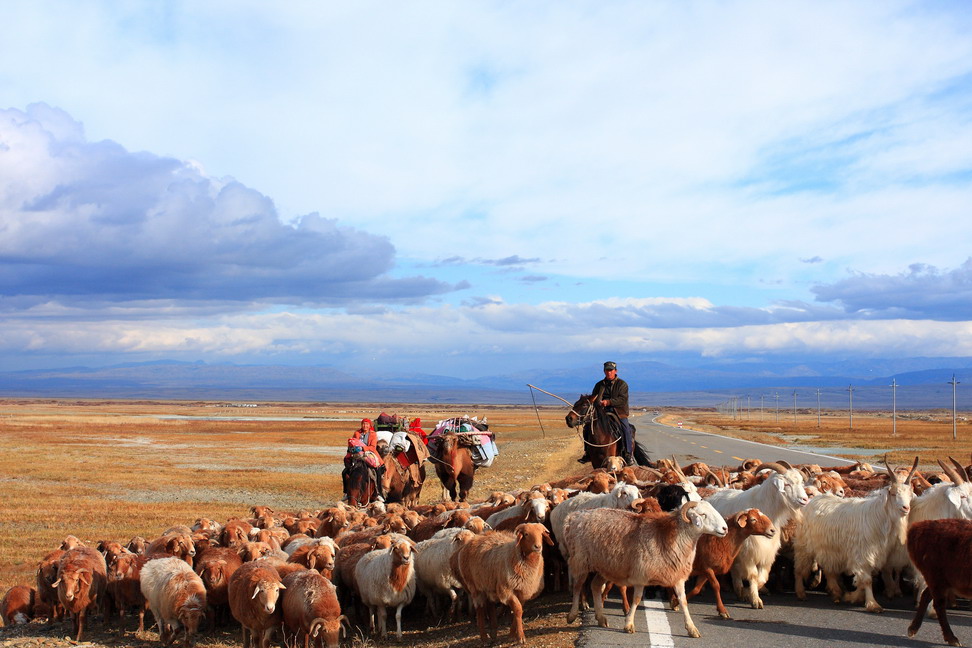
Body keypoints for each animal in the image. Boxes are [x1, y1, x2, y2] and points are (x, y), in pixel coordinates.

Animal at [560, 502, 728, 636]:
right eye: (703, 515)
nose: (725, 528)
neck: (670, 537)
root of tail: (573, 517)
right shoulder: (641, 575)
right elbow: (636, 599)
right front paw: (629, 624)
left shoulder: (677, 576)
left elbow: (683, 601)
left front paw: (692, 629)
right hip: (581, 560)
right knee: (577, 586)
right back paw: (572, 615)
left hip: (605, 566)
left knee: (595, 586)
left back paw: (601, 618)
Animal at [704, 460, 808, 608]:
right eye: (787, 484)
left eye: (800, 482)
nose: (805, 499)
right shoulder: (749, 553)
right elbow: (753, 576)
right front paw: (755, 599)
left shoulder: (766, 553)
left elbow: (763, 578)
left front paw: (750, 593)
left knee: (735, 570)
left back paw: (739, 591)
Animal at [792, 456, 916, 612]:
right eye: (893, 494)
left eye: (909, 495)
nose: (905, 508)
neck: (879, 516)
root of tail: (810, 500)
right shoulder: (863, 554)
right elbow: (867, 580)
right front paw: (872, 604)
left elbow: (863, 580)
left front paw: (854, 596)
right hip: (804, 544)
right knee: (799, 567)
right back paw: (800, 592)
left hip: (828, 547)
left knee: (828, 567)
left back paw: (836, 592)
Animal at [904, 516, 972, 648]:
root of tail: (917, 527)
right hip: (936, 578)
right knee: (938, 604)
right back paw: (952, 638)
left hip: (939, 580)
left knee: (926, 595)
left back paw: (913, 628)